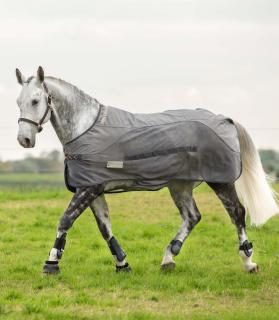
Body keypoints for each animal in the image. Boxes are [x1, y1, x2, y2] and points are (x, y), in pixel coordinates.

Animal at [15, 66, 279, 274]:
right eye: (19, 102)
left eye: (36, 101)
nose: (24, 140)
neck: (85, 128)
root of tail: (225, 119)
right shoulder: (92, 189)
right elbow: (104, 228)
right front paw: (122, 264)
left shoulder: (88, 189)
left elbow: (65, 220)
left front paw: (51, 263)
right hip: (180, 185)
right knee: (192, 217)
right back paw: (169, 258)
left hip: (220, 180)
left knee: (237, 212)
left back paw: (248, 261)